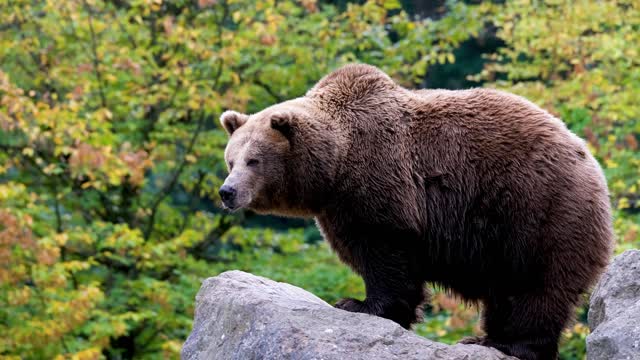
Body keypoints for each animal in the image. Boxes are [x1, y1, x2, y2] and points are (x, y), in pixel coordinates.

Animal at [218, 63, 612, 358]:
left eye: (254, 160)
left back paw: (509, 343)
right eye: (231, 159)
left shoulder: (382, 181)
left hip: (538, 208)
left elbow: (385, 252)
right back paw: (485, 336)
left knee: (536, 284)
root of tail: (588, 158)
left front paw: (357, 303)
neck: (335, 169)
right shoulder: (338, 206)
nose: (227, 191)